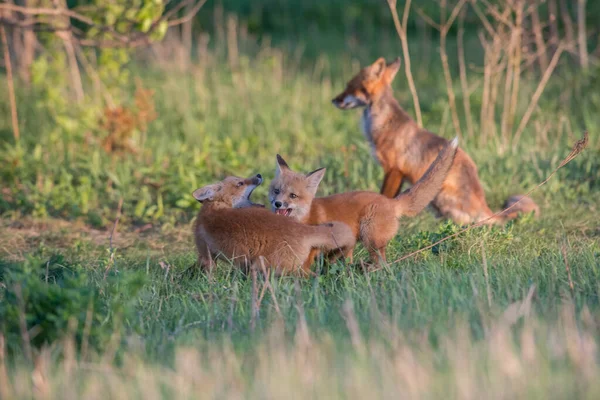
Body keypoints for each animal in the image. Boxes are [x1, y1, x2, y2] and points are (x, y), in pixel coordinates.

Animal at [192, 173, 356, 274]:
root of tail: (301, 228)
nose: (259, 175)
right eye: (240, 183)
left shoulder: (206, 255)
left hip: (268, 266)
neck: (214, 207)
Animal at [270, 138, 458, 266]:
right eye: (276, 191)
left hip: (370, 237)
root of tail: (391, 202)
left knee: (382, 263)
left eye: (293, 196)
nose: (277, 204)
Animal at [330, 56, 540, 225]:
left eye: (350, 87)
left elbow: (386, 197)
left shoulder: (394, 169)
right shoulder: (398, 173)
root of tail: (483, 202)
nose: (333, 100)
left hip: (441, 196)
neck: (382, 124)